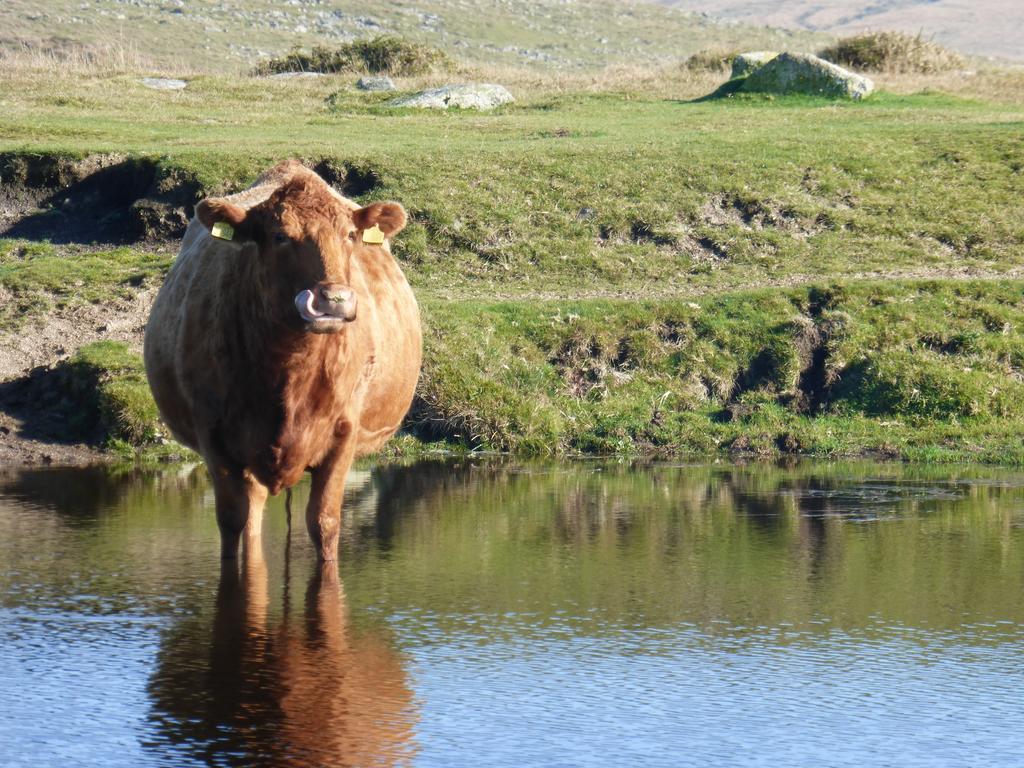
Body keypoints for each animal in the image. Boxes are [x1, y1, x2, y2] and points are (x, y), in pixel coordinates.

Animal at [142, 160, 421, 561]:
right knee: (251, 518)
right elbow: (232, 519)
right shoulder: (213, 435)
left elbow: (324, 522)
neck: (290, 370)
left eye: (350, 235)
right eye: (279, 236)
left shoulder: (344, 432)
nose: (333, 299)